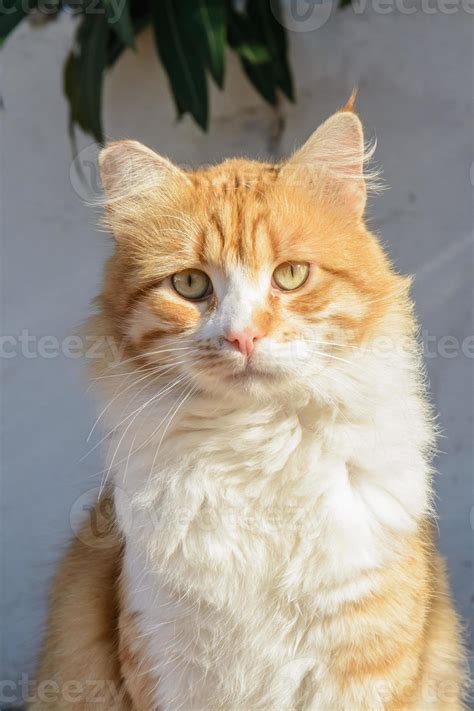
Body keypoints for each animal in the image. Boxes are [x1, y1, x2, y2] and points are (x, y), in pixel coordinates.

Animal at [33, 101, 466, 711]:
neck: (254, 446)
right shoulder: (167, 662)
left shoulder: (362, 663)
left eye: (290, 275)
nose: (243, 336)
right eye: (191, 285)